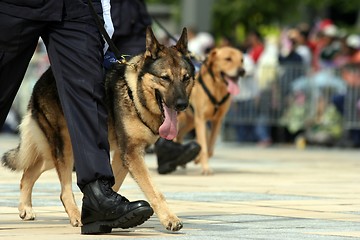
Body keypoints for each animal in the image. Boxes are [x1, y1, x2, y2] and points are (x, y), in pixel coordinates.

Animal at [1, 27, 195, 232]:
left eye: (185, 78)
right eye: (165, 78)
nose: (182, 104)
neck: (135, 94)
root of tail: (42, 79)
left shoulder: (123, 156)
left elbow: (114, 184)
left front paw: (105, 213)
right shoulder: (132, 153)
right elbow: (154, 190)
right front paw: (169, 218)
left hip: (52, 152)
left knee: (28, 173)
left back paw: (26, 208)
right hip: (65, 147)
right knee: (63, 190)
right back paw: (75, 216)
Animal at [175, 46, 243, 174]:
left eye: (241, 60)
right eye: (228, 59)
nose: (242, 71)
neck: (217, 88)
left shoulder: (217, 121)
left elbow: (209, 147)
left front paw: (198, 159)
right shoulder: (201, 120)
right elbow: (204, 146)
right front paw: (205, 168)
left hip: (190, 122)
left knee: (179, 135)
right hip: (181, 119)